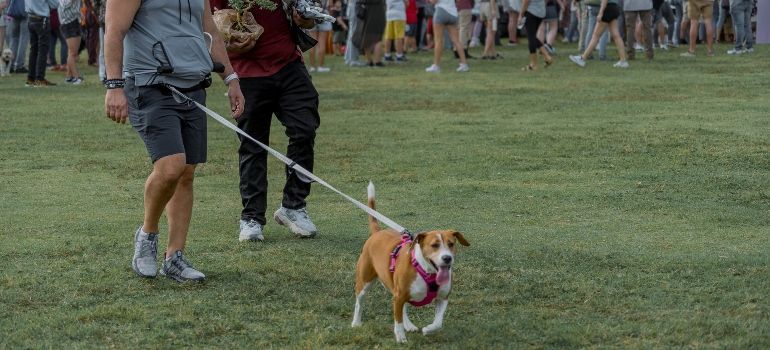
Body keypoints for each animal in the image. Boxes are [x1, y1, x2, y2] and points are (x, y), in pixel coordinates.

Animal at [350, 182, 468, 344]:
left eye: (451, 244)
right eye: (434, 245)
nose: (447, 258)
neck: (427, 271)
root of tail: (377, 232)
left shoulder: (442, 297)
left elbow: (438, 322)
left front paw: (428, 329)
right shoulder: (399, 296)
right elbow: (397, 320)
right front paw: (400, 337)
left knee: (403, 307)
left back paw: (409, 325)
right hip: (365, 281)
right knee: (359, 302)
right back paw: (356, 323)